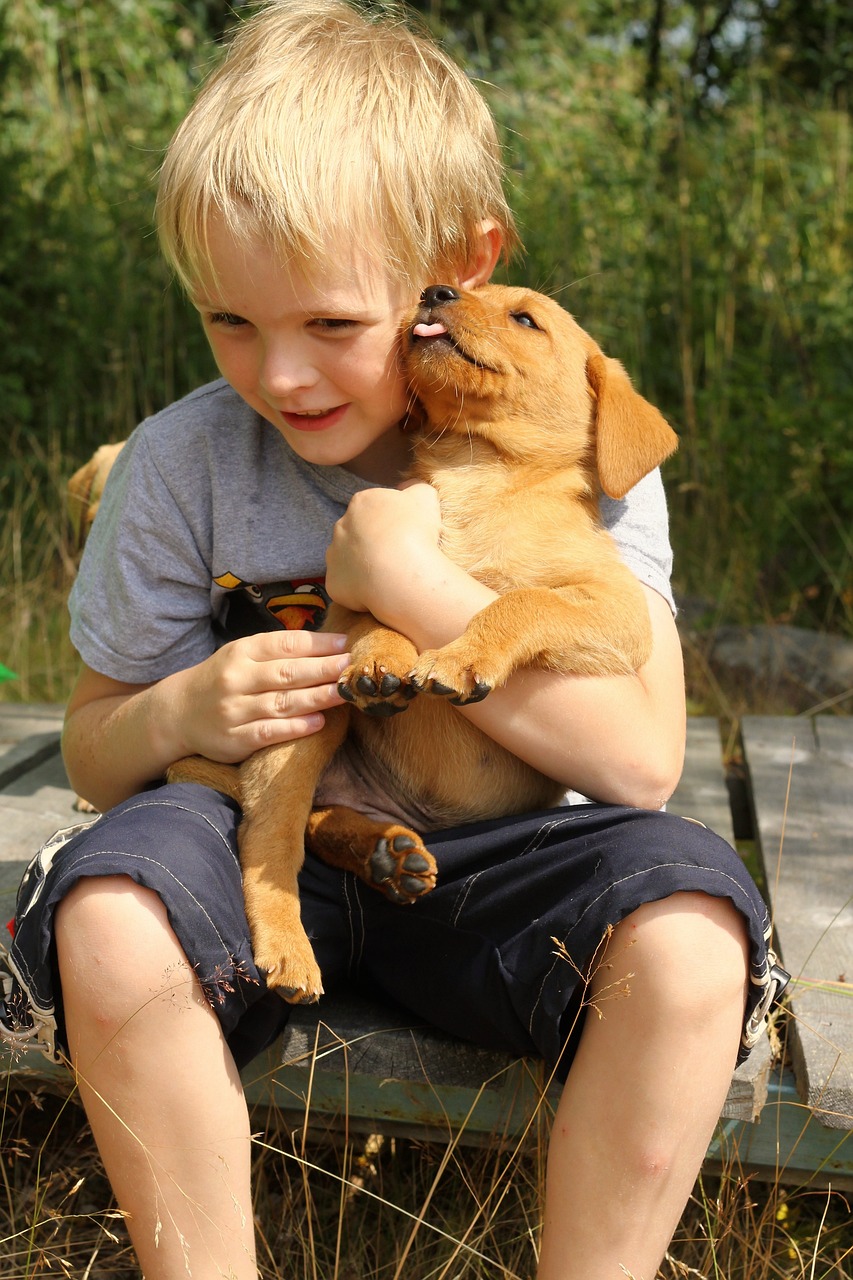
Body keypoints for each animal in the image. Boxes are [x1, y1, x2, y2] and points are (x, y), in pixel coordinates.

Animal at [174, 285, 676, 1003]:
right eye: (459, 290)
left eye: (526, 319)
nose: (435, 291)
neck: (477, 474)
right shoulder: (348, 600)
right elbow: (379, 620)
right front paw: (382, 660)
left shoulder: (617, 611)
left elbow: (522, 600)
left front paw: (462, 656)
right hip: (302, 736)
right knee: (270, 842)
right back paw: (295, 943)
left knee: (316, 824)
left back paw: (387, 855)